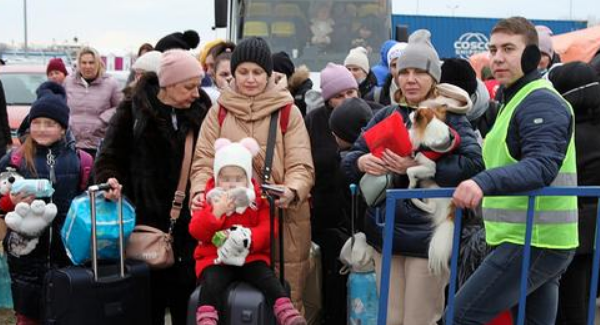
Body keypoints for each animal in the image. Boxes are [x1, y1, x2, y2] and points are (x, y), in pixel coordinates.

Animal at [408, 105, 460, 274]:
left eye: (416, 112)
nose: (411, 111)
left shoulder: (430, 168)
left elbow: (410, 170)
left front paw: (411, 181)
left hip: (433, 189)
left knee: (431, 209)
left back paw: (413, 195)